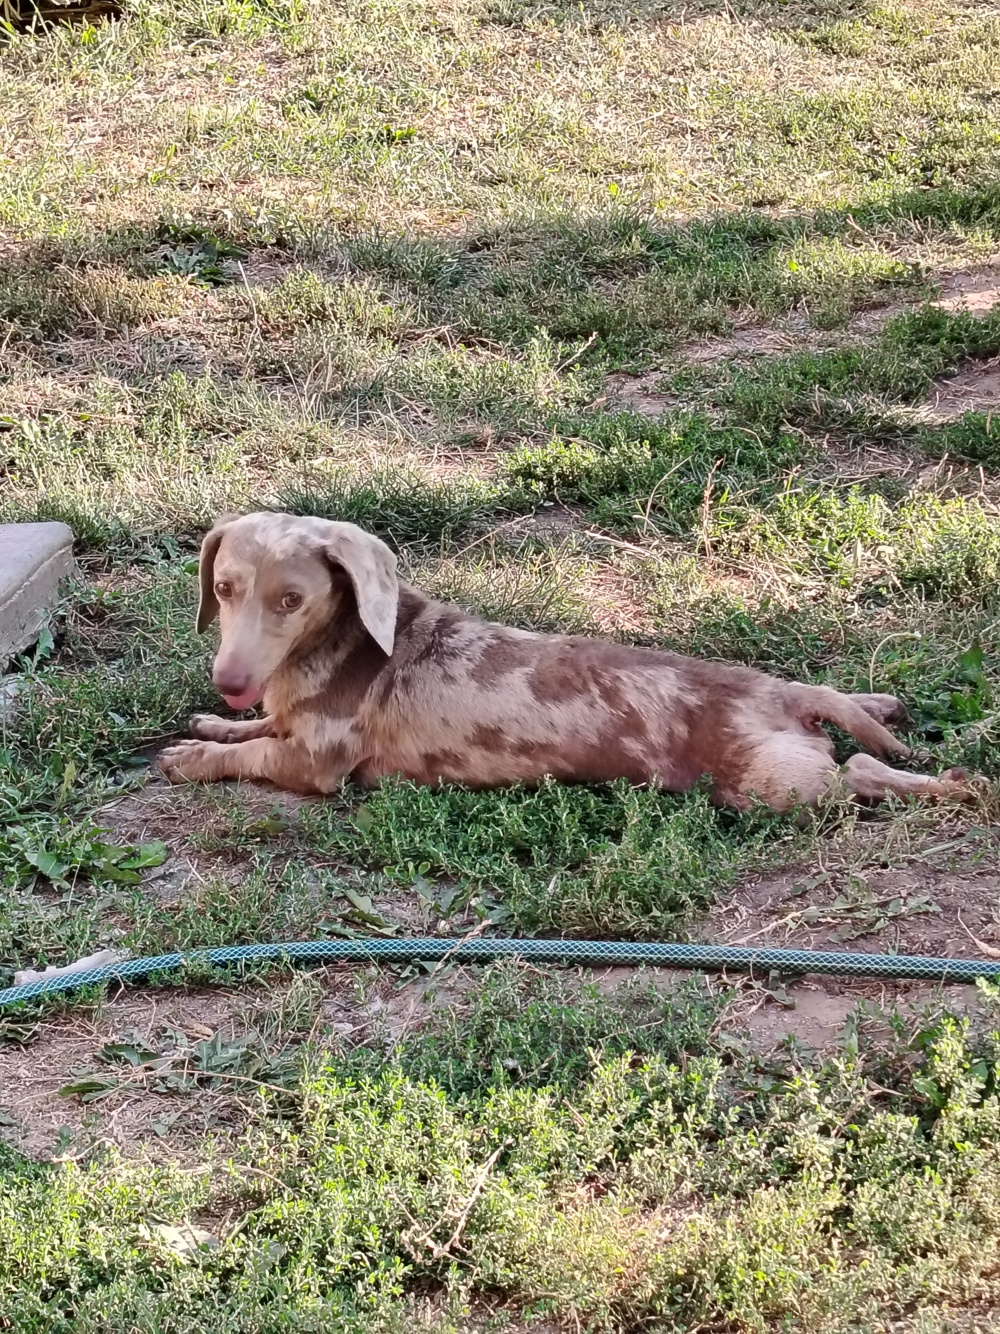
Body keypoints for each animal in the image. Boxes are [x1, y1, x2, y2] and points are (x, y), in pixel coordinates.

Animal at [154, 512, 970, 811]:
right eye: (223, 588)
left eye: (291, 600)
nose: (230, 682)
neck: (344, 646)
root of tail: (781, 697)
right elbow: (254, 731)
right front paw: (211, 724)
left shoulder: (317, 764)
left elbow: (254, 755)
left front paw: (194, 757)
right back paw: (879, 707)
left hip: (778, 785)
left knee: (859, 772)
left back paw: (950, 785)